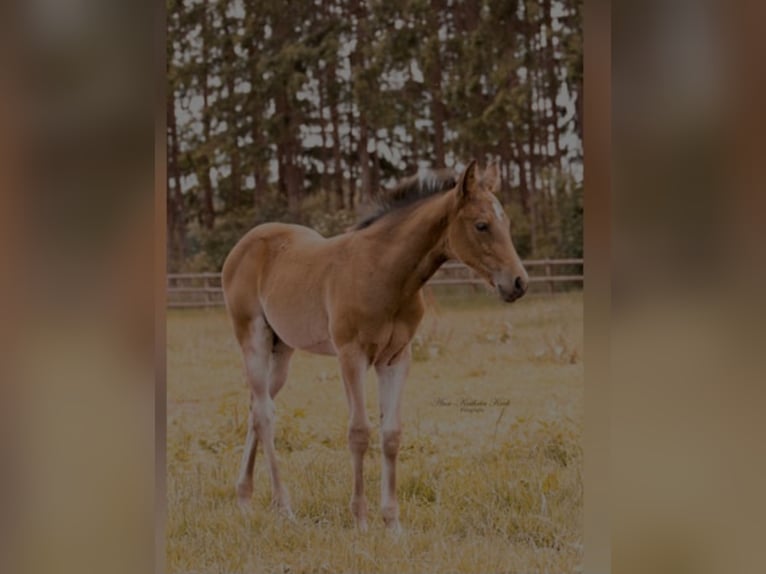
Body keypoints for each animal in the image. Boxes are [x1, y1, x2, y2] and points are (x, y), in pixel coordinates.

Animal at [221, 160, 528, 531]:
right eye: (481, 225)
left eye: (506, 223)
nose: (519, 283)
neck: (384, 271)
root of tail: (243, 244)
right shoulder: (351, 355)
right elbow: (359, 431)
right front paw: (361, 519)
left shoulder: (395, 358)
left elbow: (391, 434)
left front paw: (392, 523)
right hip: (252, 338)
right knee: (265, 415)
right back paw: (283, 506)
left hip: (281, 350)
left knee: (257, 406)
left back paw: (244, 497)